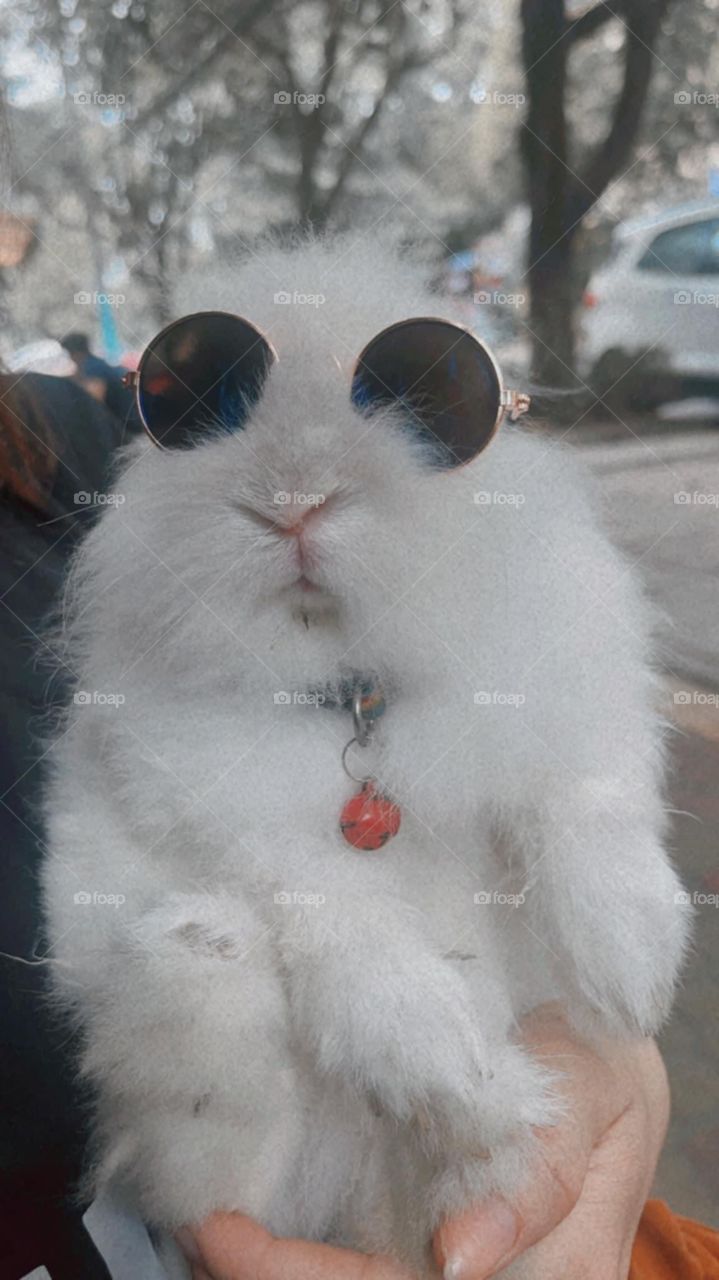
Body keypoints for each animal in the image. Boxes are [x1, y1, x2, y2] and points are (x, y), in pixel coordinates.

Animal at [41, 236, 690, 1280]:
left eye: (418, 403)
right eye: (211, 409)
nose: (293, 505)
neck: (353, 691)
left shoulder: (577, 711)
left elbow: (589, 813)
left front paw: (632, 977)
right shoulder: (246, 831)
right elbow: (348, 928)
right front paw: (451, 1064)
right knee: (202, 1166)